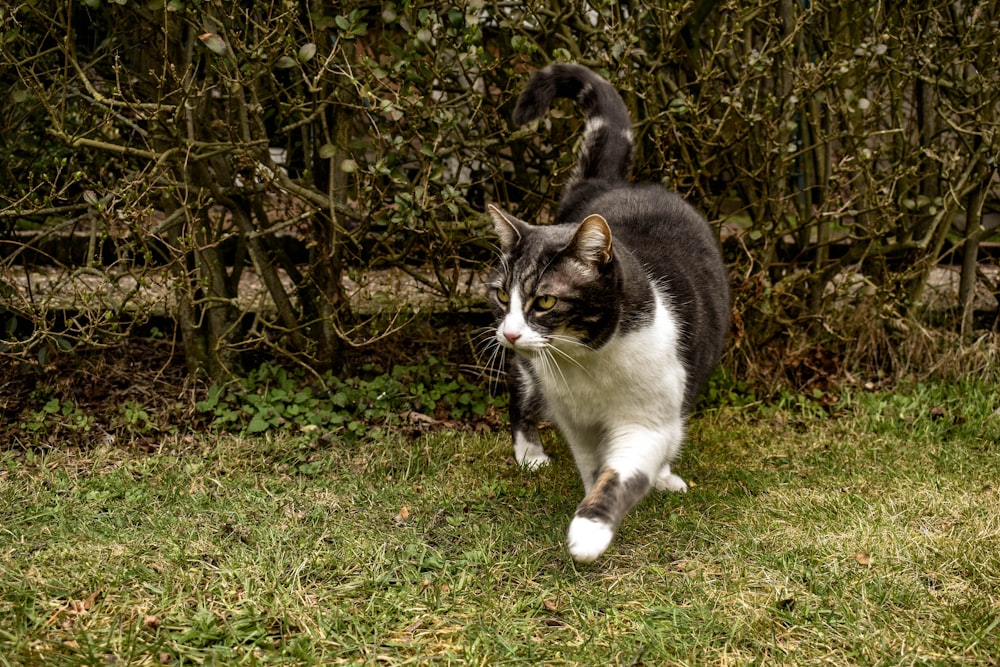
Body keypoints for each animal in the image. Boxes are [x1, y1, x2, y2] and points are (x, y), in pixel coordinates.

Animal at [482, 64, 728, 564]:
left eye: (545, 302)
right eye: (501, 295)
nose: (509, 334)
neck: (589, 363)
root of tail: (608, 185)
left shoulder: (646, 420)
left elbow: (623, 472)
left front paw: (590, 528)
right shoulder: (576, 421)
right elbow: (593, 465)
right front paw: (587, 498)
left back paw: (666, 475)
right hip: (530, 378)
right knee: (521, 392)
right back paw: (530, 453)